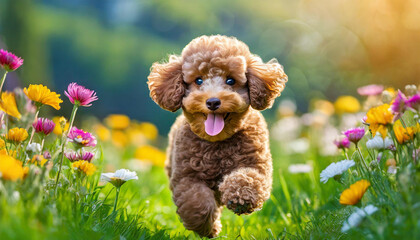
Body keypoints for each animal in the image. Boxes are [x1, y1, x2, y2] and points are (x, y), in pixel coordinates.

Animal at [146, 34, 288, 237]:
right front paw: (206, 228)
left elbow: (247, 178)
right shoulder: (186, 177)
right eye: (198, 81)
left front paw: (240, 198)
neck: (217, 144)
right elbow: (196, 203)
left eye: (230, 81)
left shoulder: (257, 166)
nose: (213, 102)